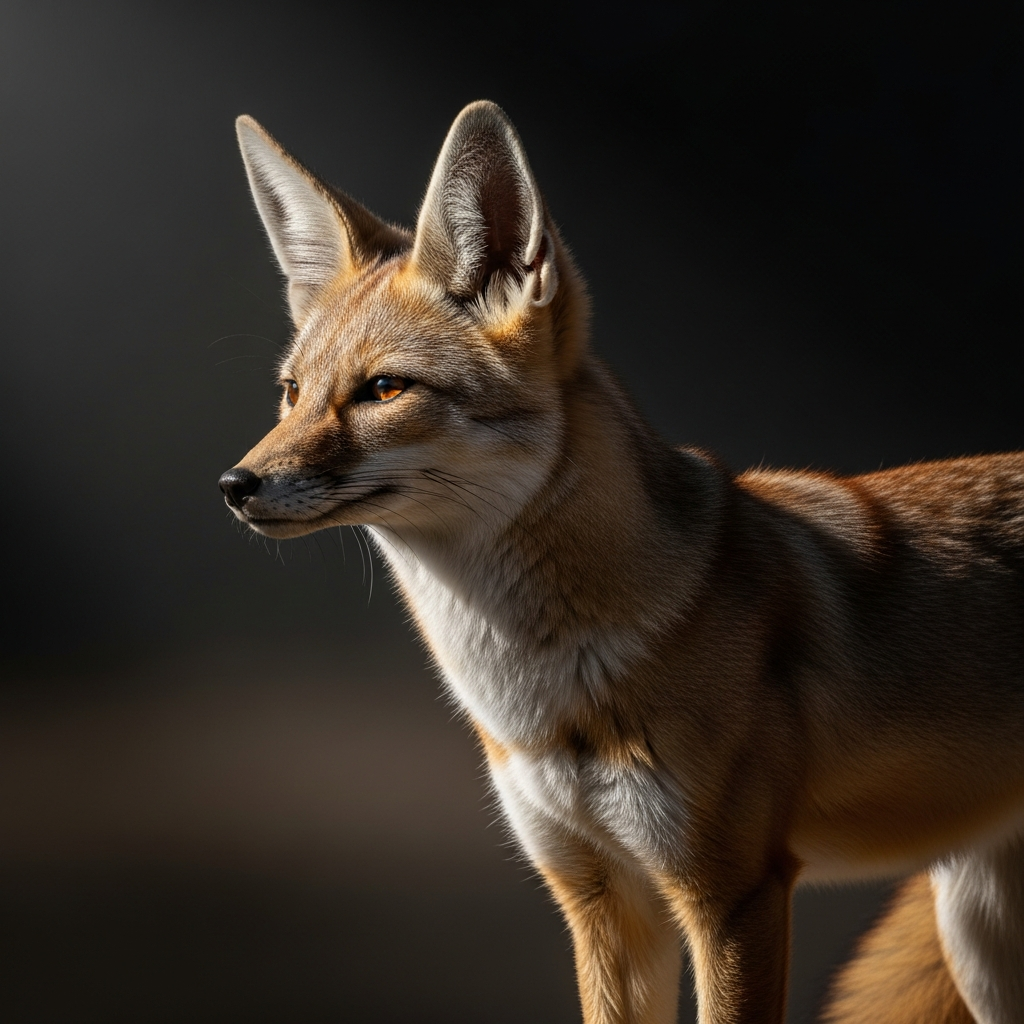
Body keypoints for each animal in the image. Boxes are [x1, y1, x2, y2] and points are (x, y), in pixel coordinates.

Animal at [219, 100, 1024, 1024]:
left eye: (384, 390)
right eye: (291, 393)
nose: (234, 486)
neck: (539, 693)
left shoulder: (733, 894)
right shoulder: (600, 898)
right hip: (977, 936)